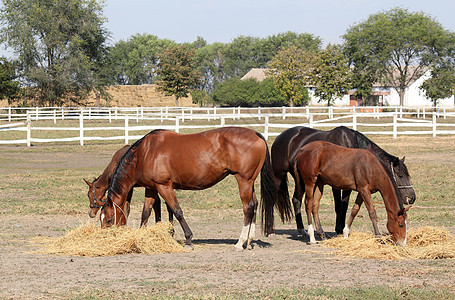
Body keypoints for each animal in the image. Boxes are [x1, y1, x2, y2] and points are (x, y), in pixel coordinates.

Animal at [99, 126, 274, 251]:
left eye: (109, 220)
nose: (105, 240)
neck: (145, 153)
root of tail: (256, 134)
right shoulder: (151, 188)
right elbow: (146, 213)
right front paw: (142, 237)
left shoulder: (164, 186)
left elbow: (177, 211)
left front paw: (188, 239)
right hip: (249, 183)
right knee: (254, 204)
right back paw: (249, 241)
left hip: (243, 181)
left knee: (248, 207)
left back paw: (240, 243)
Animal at [264, 125, 416, 236]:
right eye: (400, 175)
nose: (412, 197)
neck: (349, 143)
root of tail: (280, 137)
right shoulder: (336, 185)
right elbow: (338, 206)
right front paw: (338, 229)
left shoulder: (348, 186)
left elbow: (345, 205)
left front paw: (342, 227)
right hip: (279, 175)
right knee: (271, 199)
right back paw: (270, 230)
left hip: (300, 179)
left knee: (296, 199)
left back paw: (302, 230)